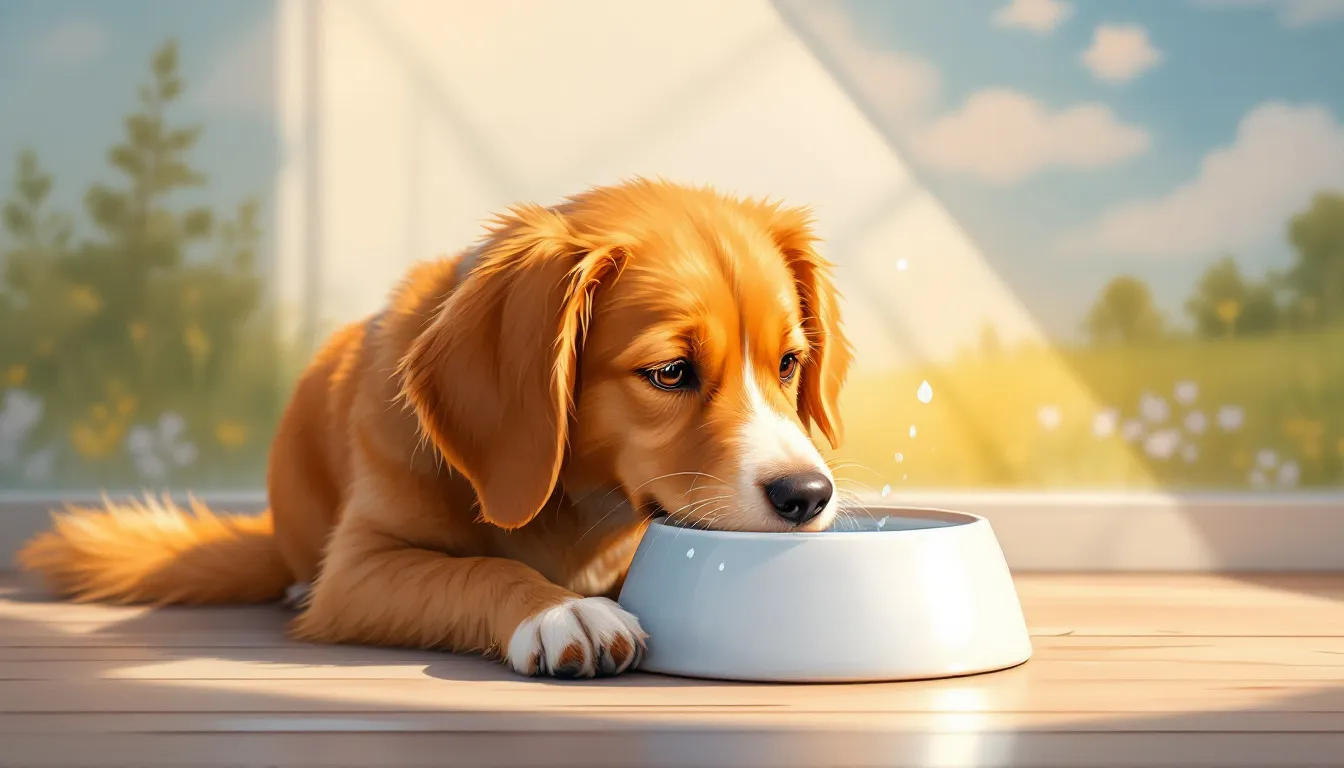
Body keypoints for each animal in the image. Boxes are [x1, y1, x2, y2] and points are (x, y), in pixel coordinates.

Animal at [18, 178, 849, 677]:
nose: (808, 496)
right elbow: (476, 569)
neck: (574, 507)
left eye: (788, 363)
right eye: (671, 372)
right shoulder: (357, 571)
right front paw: (561, 611)